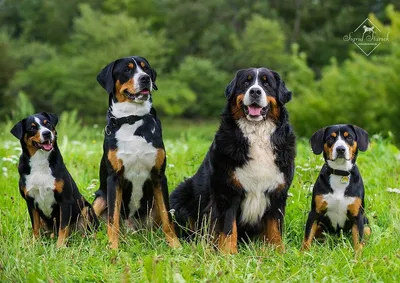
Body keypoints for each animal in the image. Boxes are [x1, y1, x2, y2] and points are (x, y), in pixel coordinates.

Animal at [10, 112, 98, 247]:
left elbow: (63, 227)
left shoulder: (64, 200)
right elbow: (35, 226)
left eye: (48, 124)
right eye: (32, 127)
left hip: (86, 209)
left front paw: (60, 246)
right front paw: (35, 244)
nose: (46, 133)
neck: (40, 162)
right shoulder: (30, 201)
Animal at [92, 56, 180, 250]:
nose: (145, 78)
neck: (132, 119)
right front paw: (113, 248)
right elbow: (113, 219)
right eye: (127, 69)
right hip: (99, 199)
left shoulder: (159, 176)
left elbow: (167, 218)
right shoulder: (114, 178)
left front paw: (175, 245)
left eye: (145, 69)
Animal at [170, 67, 296, 254]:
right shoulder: (227, 191)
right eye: (246, 82)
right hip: (181, 194)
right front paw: (228, 253)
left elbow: (274, 227)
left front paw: (277, 252)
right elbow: (228, 227)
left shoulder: (277, 192)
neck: (256, 135)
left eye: (266, 83)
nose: (255, 91)